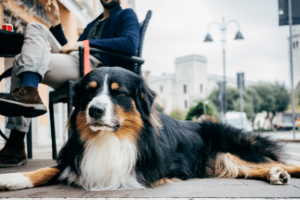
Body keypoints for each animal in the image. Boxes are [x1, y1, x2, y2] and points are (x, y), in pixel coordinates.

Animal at [0, 67, 300, 191]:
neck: (110, 137)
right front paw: (14, 179)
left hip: (230, 149)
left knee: (270, 161)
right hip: (219, 161)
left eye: (119, 93)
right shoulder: (75, 157)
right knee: (253, 167)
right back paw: (276, 175)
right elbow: (49, 169)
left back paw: (281, 172)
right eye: (89, 91)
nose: (94, 111)